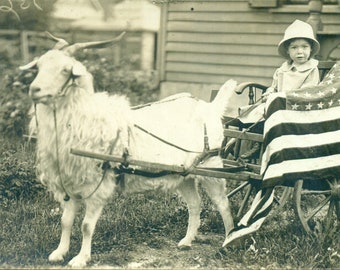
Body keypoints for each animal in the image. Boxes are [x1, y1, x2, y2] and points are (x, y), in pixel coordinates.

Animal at [21, 33, 239, 268]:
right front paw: (59, 253)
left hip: (211, 166)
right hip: (184, 174)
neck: (86, 120)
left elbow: (86, 226)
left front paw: (80, 258)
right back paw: (187, 241)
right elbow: (65, 221)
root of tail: (211, 107)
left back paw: (229, 240)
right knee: (195, 204)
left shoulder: (99, 185)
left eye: (65, 70)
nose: (34, 90)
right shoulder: (71, 183)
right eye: (39, 66)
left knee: (223, 204)